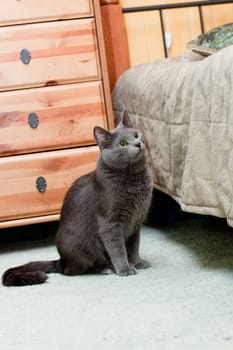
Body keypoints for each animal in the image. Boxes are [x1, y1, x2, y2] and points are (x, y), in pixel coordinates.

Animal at [3, 110, 155, 286]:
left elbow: (133, 246)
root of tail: (61, 260)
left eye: (136, 134)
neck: (134, 178)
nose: (138, 144)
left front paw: (138, 262)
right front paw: (125, 269)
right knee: (72, 271)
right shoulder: (110, 224)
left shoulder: (136, 221)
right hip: (81, 247)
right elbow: (118, 249)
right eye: (122, 144)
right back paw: (105, 269)